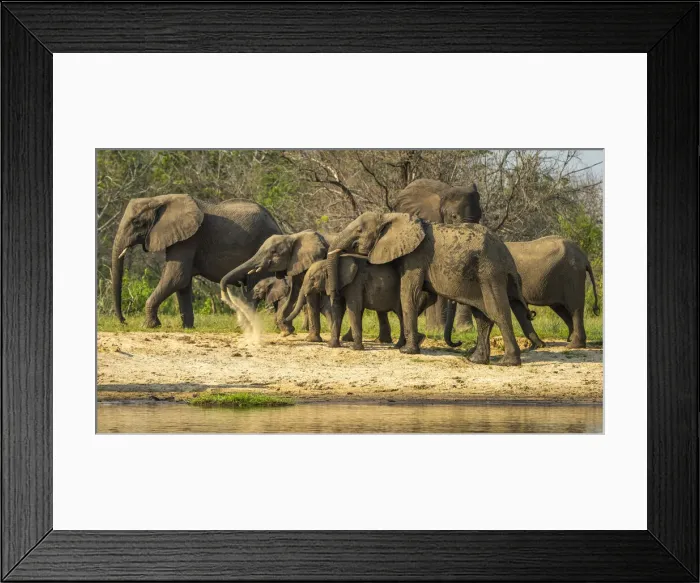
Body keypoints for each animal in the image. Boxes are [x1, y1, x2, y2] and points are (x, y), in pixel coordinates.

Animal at [112, 194, 281, 328]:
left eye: (137, 223)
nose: (124, 322)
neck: (159, 199)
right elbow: (182, 283)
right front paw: (187, 327)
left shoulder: (189, 239)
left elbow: (176, 277)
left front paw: (149, 326)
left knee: (254, 289)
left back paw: (245, 326)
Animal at [328, 212, 538, 366]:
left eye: (359, 230)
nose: (458, 342)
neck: (389, 216)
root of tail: (507, 253)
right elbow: (421, 296)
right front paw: (411, 343)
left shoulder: (415, 257)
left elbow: (409, 293)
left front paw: (408, 351)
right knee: (482, 316)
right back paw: (476, 360)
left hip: (490, 271)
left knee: (497, 312)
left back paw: (507, 362)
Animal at [393, 178, 481, 332]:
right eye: (454, 216)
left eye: (480, 217)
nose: (466, 330)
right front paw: (441, 330)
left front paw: (464, 330)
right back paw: (434, 329)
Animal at [445, 236, 600, 348]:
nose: (459, 342)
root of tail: (584, 257)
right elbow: (518, 307)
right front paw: (538, 346)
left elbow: (516, 308)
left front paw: (538, 346)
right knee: (560, 308)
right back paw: (571, 340)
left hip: (572, 276)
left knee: (575, 308)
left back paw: (574, 345)